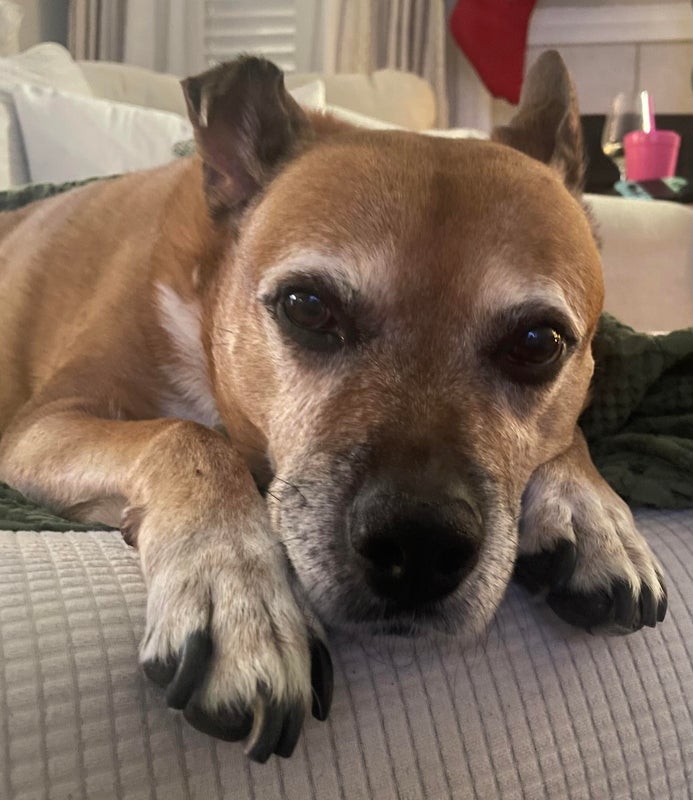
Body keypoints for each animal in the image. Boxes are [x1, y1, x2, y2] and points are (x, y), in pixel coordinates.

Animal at [0, 51, 667, 762]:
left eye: (538, 343)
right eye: (307, 307)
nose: (419, 545)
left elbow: (572, 431)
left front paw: (596, 513)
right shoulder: (44, 424)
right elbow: (184, 436)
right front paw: (239, 592)